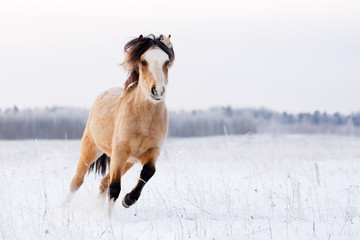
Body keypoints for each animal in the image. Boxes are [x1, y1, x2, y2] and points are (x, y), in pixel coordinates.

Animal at [70, 33, 174, 208]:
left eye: (166, 62)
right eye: (143, 62)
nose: (158, 91)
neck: (144, 121)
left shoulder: (152, 151)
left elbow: (148, 172)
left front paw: (128, 200)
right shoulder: (119, 151)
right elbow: (114, 188)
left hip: (129, 162)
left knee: (103, 183)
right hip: (91, 149)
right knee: (77, 181)